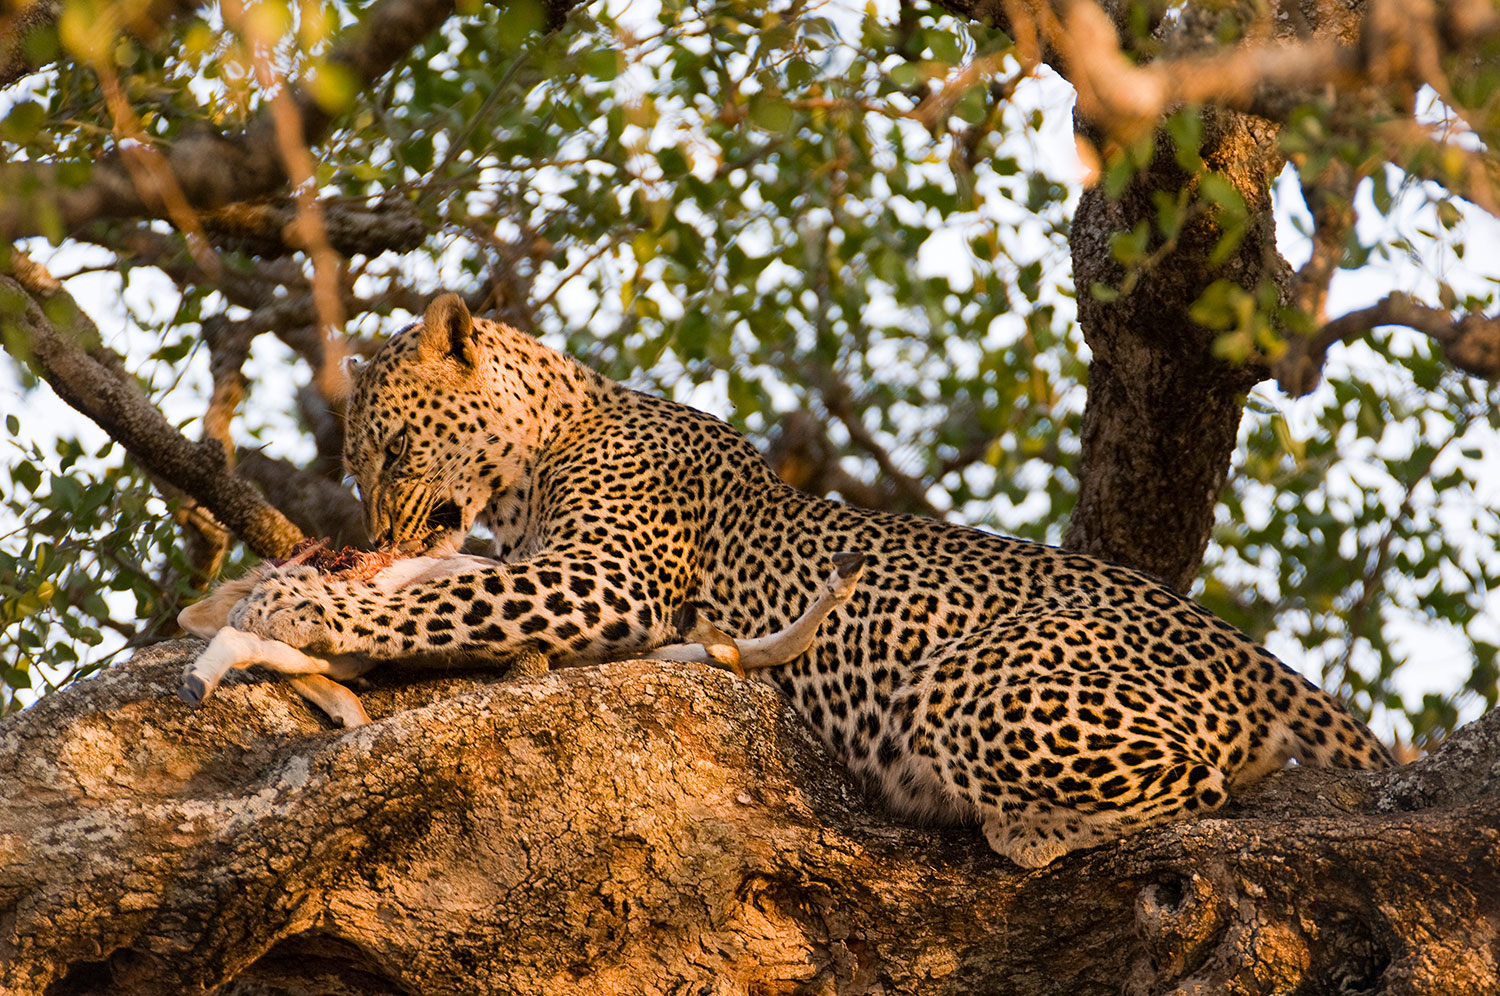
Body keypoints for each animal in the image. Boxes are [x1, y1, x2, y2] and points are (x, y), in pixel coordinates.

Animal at [228, 292, 1394, 868]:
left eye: (388, 447)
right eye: (356, 463)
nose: (374, 526)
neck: (551, 439)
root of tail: (1242, 646)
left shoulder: (610, 575)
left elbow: (445, 597)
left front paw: (295, 604)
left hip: (973, 686)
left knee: (1201, 783)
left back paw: (1027, 830)